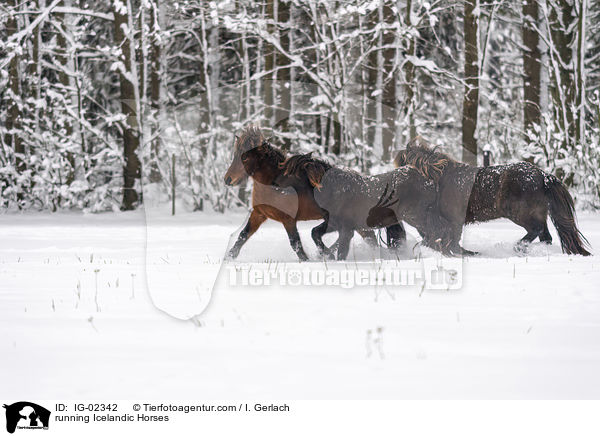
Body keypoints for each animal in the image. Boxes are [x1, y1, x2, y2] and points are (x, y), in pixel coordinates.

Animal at [223, 126, 378, 262]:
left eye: (245, 158)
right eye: (235, 155)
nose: (227, 179)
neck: (273, 183)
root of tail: (364, 185)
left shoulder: (288, 219)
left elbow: (295, 243)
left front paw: (308, 260)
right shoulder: (259, 214)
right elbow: (243, 236)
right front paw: (228, 257)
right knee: (368, 238)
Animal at [276, 152, 454, 258]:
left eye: (292, 174)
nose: (275, 185)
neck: (335, 190)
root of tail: (428, 178)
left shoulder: (346, 229)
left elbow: (341, 251)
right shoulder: (335, 224)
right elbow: (315, 233)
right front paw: (325, 254)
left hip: (416, 215)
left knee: (437, 230)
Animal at [394, 138, 592, 255]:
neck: (440, 179)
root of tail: (543, 176)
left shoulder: (451, 220)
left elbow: (449, 240)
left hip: (520, 214)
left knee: (535, 230)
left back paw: (518, 247)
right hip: (537, 215)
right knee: (545, 237)